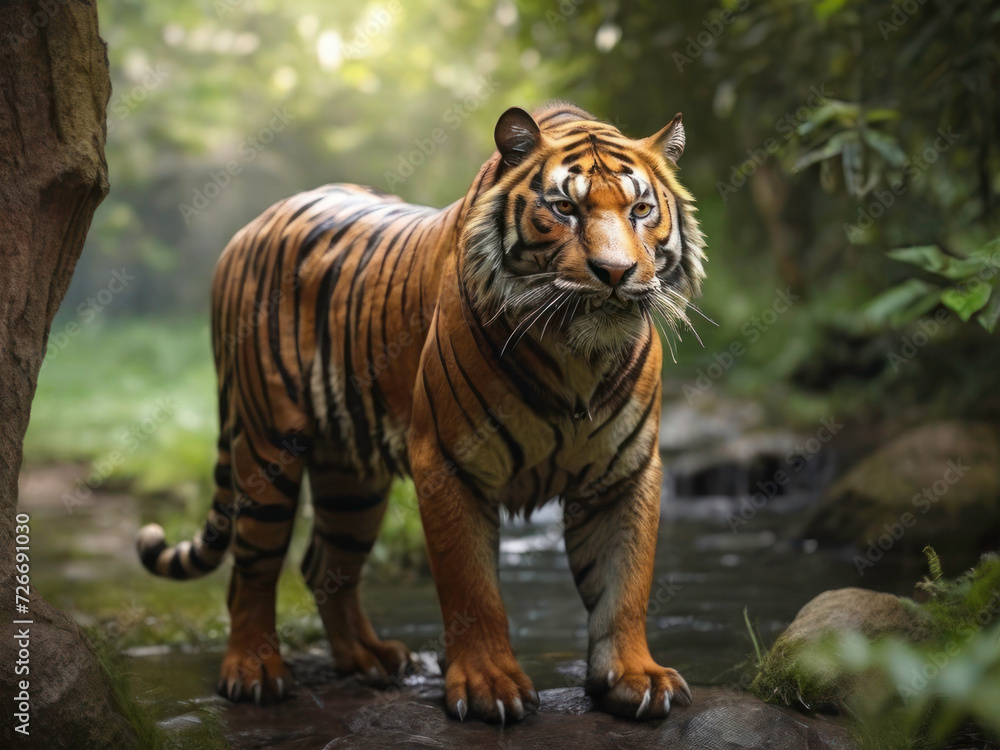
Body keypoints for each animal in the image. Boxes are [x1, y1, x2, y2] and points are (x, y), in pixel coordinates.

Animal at [137, 102, 706, 724]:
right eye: (564, 209)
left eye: (640, 209)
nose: (616, 272)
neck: (577, 355)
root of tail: (250, 226)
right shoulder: (450, 461)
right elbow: (472, 589)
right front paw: (488, 685)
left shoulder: (624, 472)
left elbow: (623, 586)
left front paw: (634, 677)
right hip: (268, 449)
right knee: (252, 568)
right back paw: (252, 672)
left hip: (351, 479)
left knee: (326, 565)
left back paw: (371, 658)